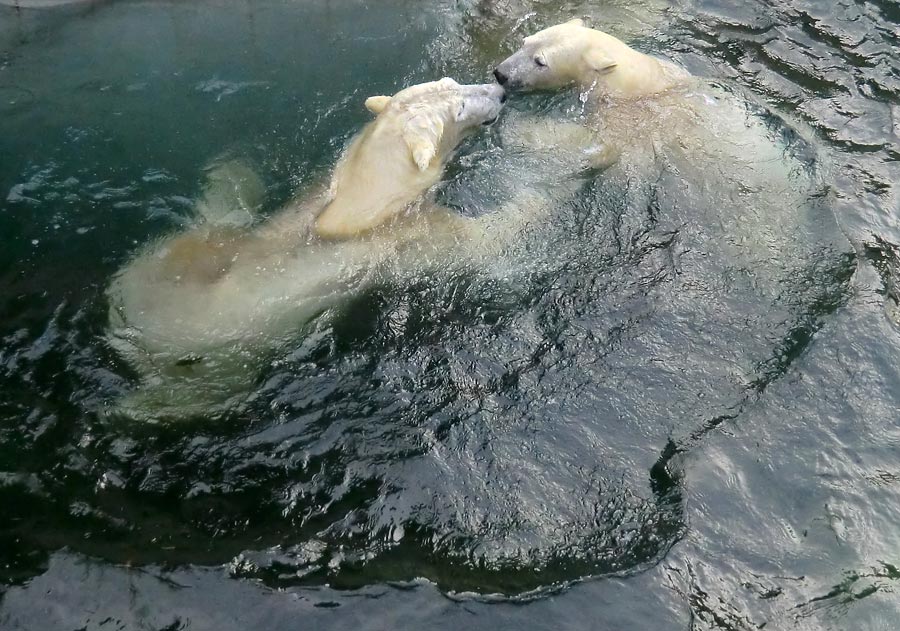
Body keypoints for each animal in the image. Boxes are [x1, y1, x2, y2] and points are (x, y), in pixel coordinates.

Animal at [105, 80, 506, 424]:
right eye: (460, 107)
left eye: (453, 82)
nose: (499, 90)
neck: (357, 202)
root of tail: (132, 327)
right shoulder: (402, 236)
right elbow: (479, 242)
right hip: (221, 355)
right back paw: (134, 408)